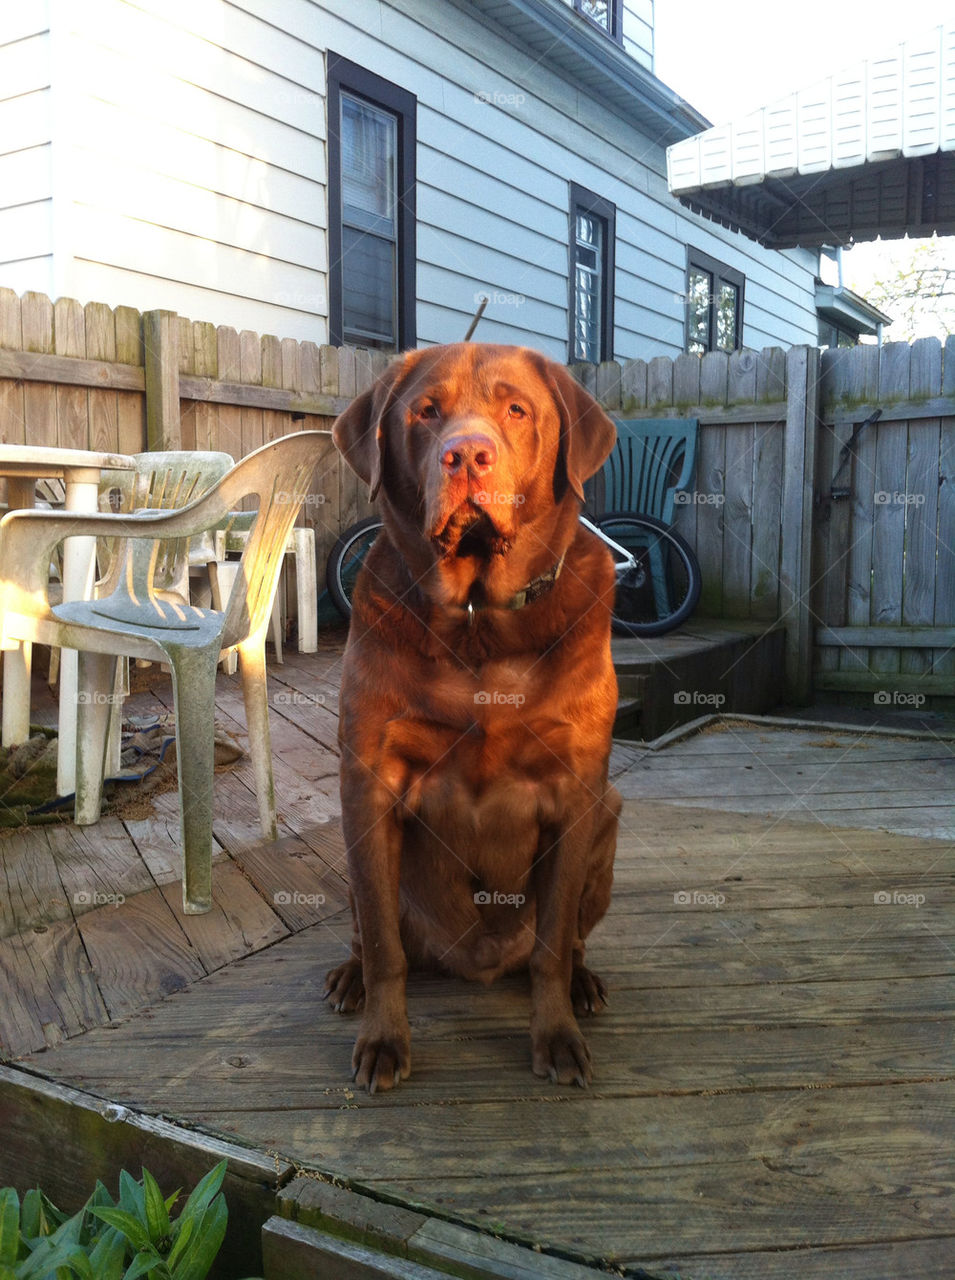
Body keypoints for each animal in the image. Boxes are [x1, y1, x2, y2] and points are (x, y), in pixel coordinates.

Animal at [323, 345, 622, 1095]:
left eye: (515, 409)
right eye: (426, 412)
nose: (466, 456)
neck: (477, 617)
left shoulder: (576, 790)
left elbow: (550, 948)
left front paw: (556, 1036)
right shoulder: (367, 784)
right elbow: (385, 946)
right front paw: (384, 1040)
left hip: (610, 817)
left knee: (569, 940)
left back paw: (583, 983)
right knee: (371, 935)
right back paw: (349, 979)